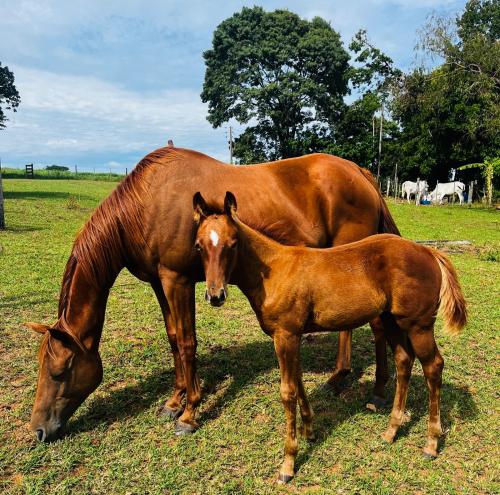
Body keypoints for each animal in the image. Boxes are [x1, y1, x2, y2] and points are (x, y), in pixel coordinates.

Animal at [25, 146, 400, 442]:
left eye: (60, 370)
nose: (39, 430)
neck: (146, 203)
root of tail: (360, 173)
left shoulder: (177, 280)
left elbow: (188, 343)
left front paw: (189, 412)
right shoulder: (160, 282)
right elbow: (173, 338)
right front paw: (174, 401)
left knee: (375, 326)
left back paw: (371, 389)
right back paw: (344, 378)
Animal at [193, 191, 466, 484]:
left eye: (232, 244)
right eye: (198, 246)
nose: (216, 295)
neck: (275, 270)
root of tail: (430, 252)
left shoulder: (285, 336)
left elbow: (287, 391)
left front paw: (288, 463)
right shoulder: (293, 336)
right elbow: (299, 382)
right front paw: (310, 431)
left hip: (418, 326)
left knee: (433, 367)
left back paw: (431, 443)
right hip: (393, 321)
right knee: (404, 361)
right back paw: (391, 431)